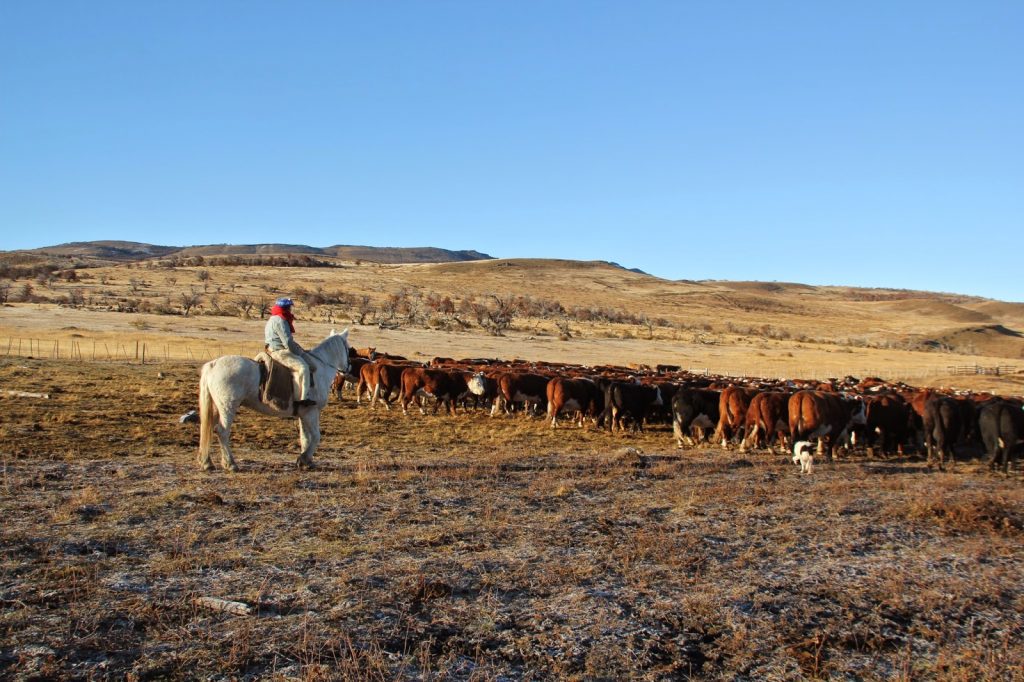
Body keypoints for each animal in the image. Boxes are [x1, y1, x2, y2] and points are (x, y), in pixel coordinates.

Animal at [195, 327, 352, 466]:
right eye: (348, 349)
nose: (348, 369)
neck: (320, 368)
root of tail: (213, 364)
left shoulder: (303, 414)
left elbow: (305, 438)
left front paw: (306, 461)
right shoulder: (311, 412)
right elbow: (315, 437)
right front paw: (304, 458)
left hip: (216, 408)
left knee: (208, 428)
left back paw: (207, 462)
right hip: (227, 407)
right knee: (222, 431)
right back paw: (230, 463)